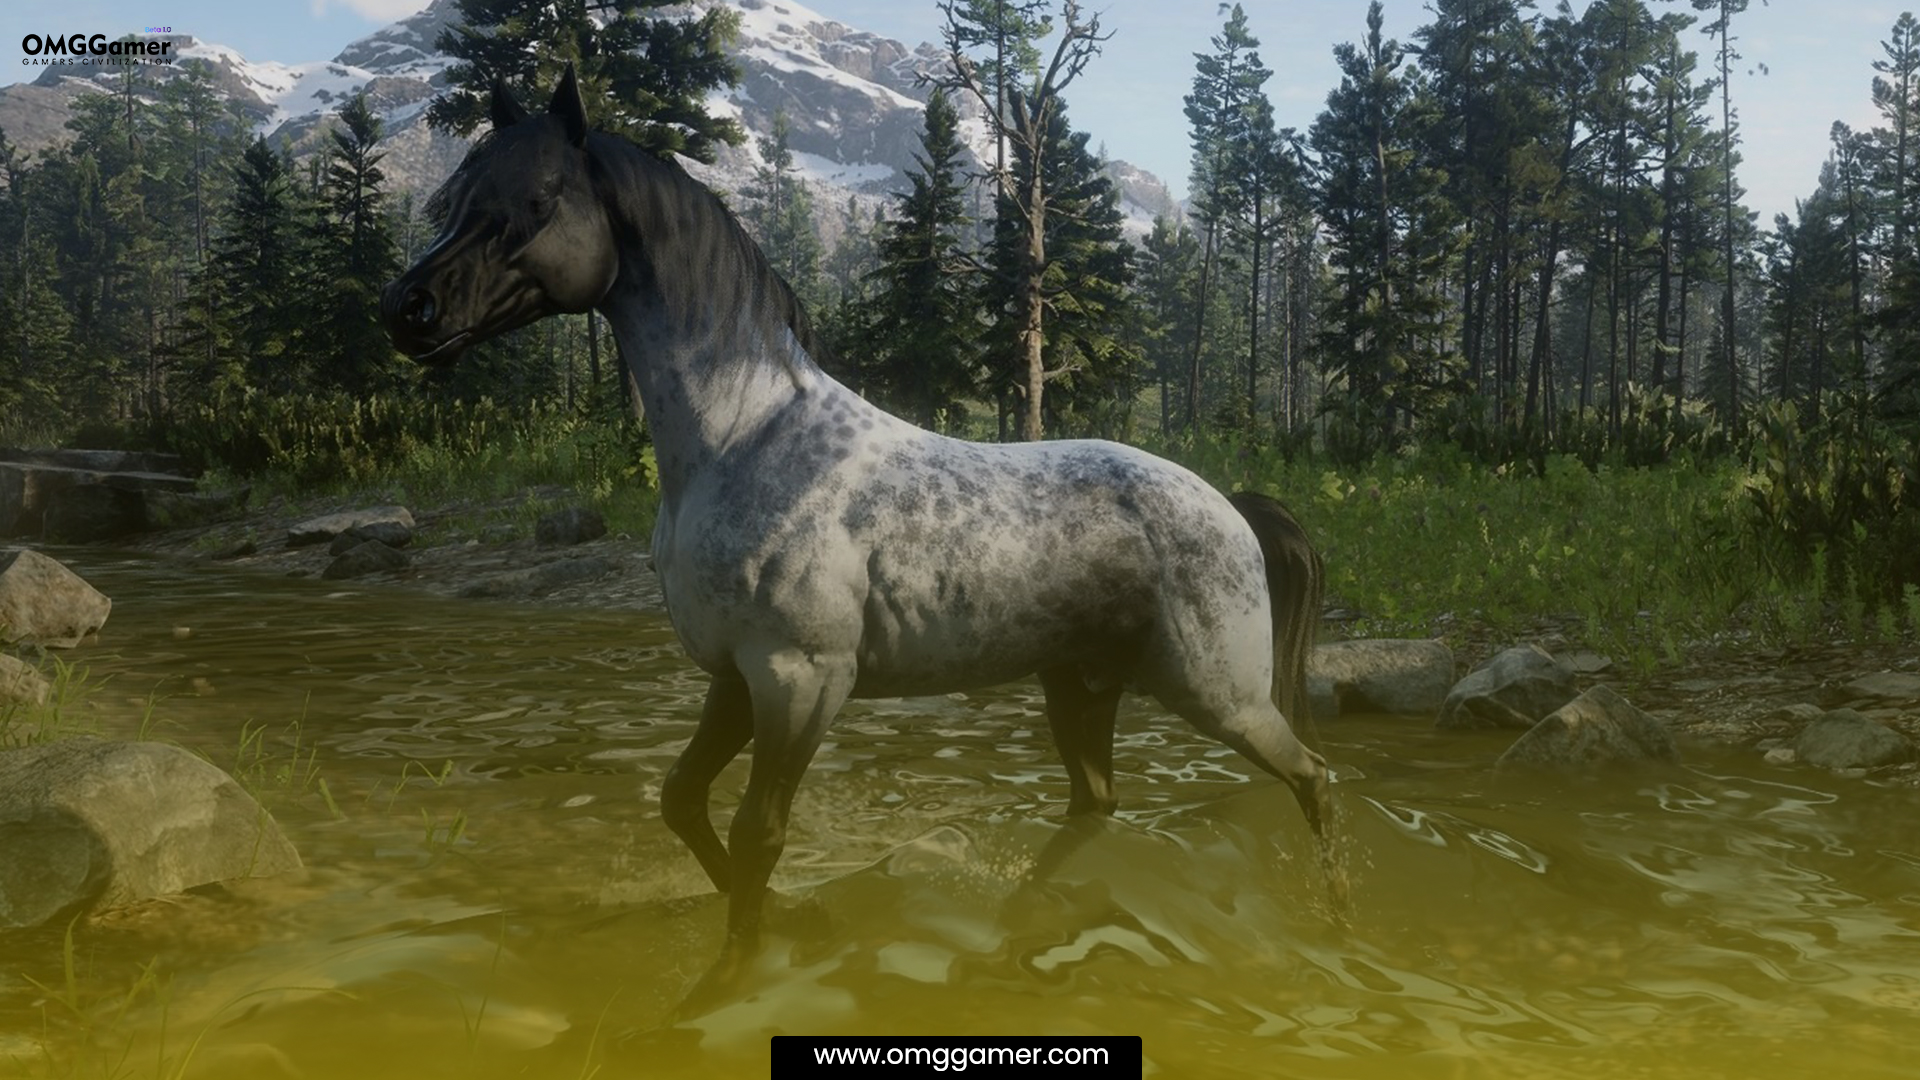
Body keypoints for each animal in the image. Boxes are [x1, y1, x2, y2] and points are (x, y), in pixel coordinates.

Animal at [381, 65, 1342, 983]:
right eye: (458, 195)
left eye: (540, 197)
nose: (408, 308)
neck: (744, 438)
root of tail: (1233, 508)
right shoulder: (735, 679)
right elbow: (683, 803)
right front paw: (793, 926)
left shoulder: (800, 682)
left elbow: (759, 834)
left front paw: (741, 967)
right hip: (1078, 687)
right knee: (1099, 806)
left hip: (1219, 695)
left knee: (1313, 777)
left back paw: (1326, 912)